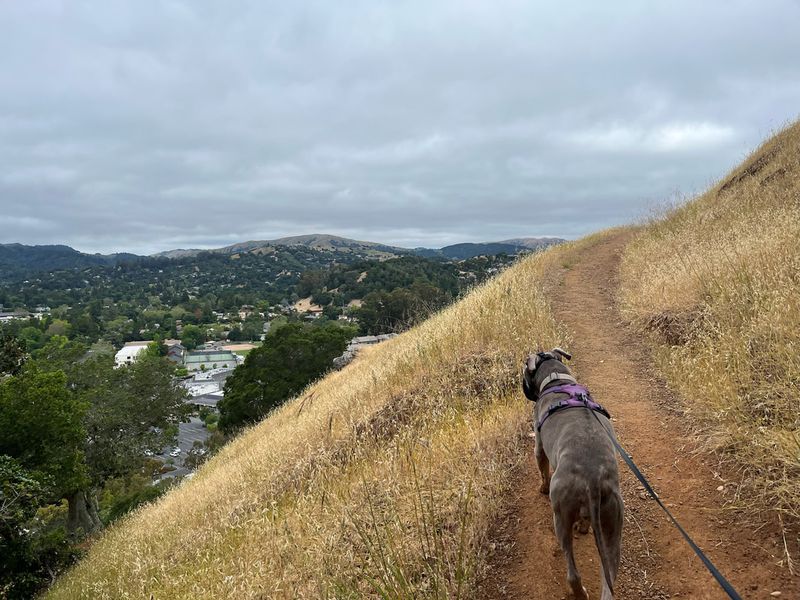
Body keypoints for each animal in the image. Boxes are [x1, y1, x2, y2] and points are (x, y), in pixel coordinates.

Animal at [520, 346, 628, 600]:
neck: (556, 379)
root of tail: (593, 480)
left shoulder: (538, 446)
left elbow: (542, 468)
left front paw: (541, 487)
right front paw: (584, 526)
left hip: (561, 516)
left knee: (572, 573)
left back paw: (579, 592)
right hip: (613, 526)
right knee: (608, 581)